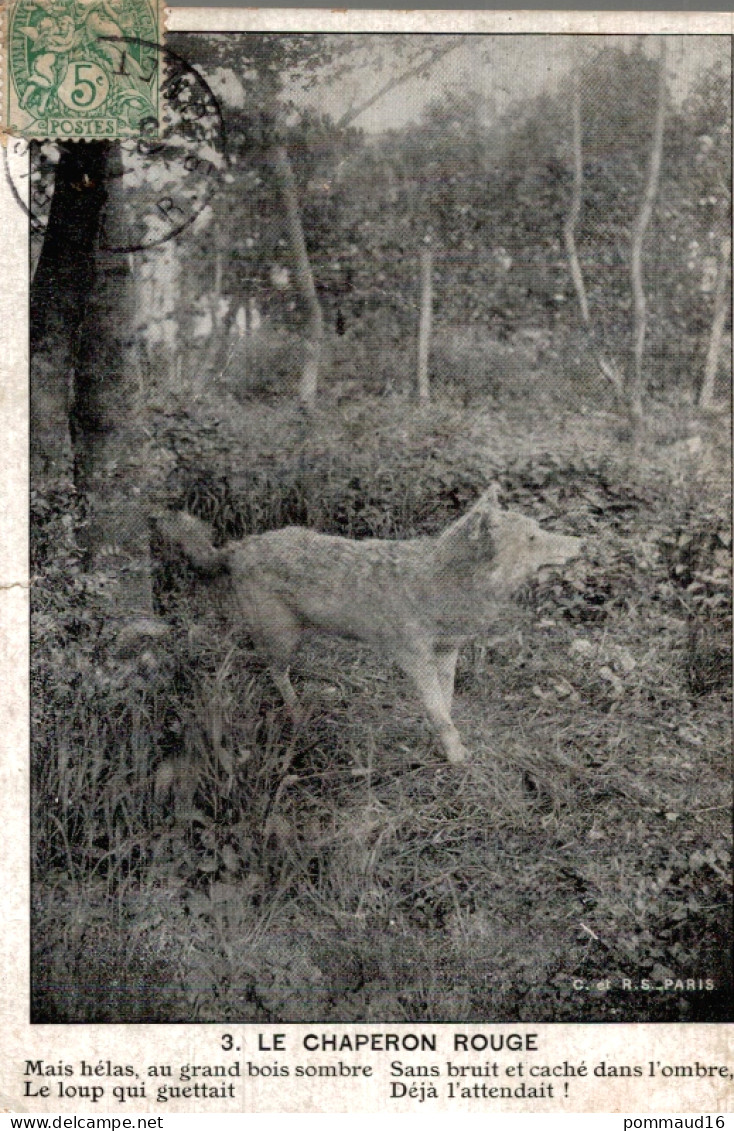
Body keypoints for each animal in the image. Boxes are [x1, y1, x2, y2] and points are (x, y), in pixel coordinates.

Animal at [152, 488, 579, 764]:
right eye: (533, 537)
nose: (580, 543)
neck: (443, 584)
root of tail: (238, 546)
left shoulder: (447, 655)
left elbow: (446, 705)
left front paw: (451, 743)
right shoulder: (416, 661)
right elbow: (438, 712)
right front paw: (456, 756)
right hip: (282, 641)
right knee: (270, 670)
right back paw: (295, 712)